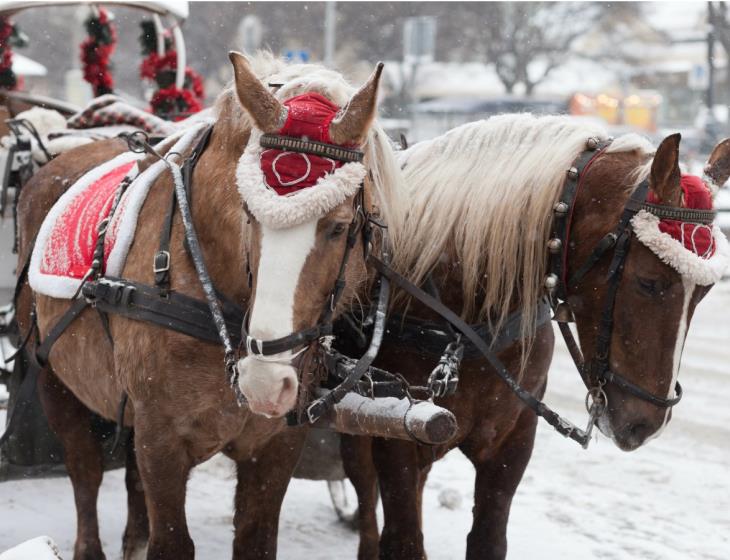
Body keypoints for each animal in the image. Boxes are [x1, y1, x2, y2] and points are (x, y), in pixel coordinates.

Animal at [15, 50, 404, 556]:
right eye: (248, 214)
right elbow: (171, 541)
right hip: (54, 378)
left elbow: (255, 537)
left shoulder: (275, 443)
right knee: (85, 471)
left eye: (339, 227)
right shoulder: (161, 437)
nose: (264, 381)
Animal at [328, 115, 728, 560]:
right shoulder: (396, 428)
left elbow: (488, 538)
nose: (647, 424)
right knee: (364, 487)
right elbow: (403, 537)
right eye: (649, 282)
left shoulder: (513, 440)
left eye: (705, 292)